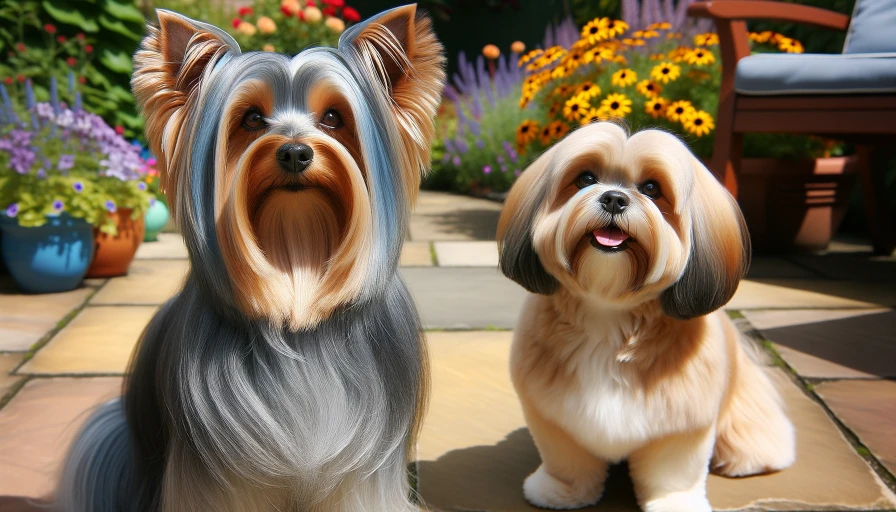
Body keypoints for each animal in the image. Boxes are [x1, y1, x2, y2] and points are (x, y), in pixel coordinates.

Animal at [496, 122, 800, 510]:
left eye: (652, 189)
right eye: (585, 178)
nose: (613, 198)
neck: (609, 311)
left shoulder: (681, 426)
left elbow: (673, 474)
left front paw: (676, 503)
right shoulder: (554, 419)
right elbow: (567, 460)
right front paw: (561, 491)